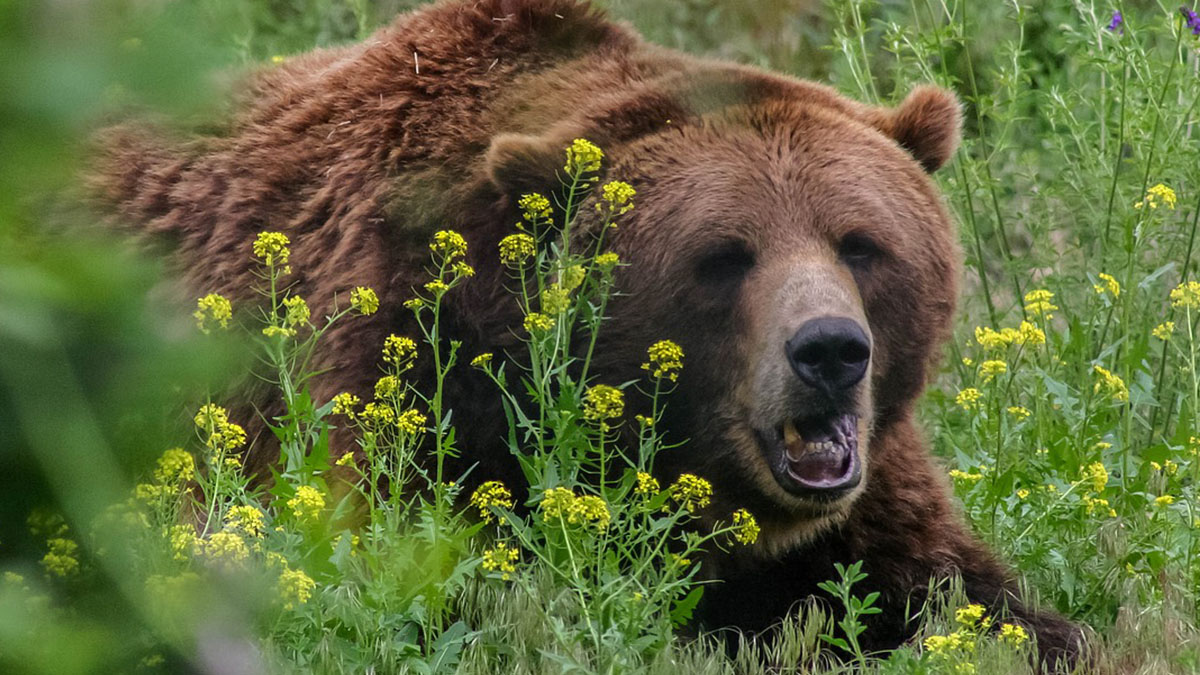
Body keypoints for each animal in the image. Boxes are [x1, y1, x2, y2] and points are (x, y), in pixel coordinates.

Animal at [88, 0, 1089, 662]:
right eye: (724, 255)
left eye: (861, 242)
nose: (831, 351)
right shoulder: (410, 391)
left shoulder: (869, 491)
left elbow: (958, 589)